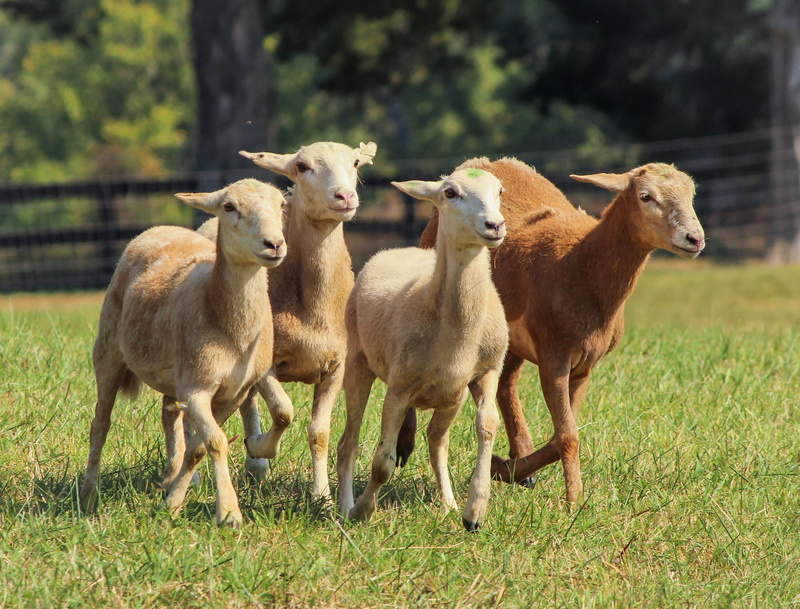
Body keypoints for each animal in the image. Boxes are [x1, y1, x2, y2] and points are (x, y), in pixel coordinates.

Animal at [79, 179, 287, 528]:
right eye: (228, 207)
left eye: (282, 205)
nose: (273, 244)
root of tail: (158, 228)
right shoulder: (197, 387)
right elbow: (217, 442)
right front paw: (229, 512)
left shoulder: (234, 392)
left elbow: (199, 447)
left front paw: (173, 503)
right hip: (107, 350)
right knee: (100, 423)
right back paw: (89, 495)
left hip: (173, 375)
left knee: (168, 415)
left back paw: (169, 476)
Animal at [196, 141, 378, 499]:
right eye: (302, 167)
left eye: (354, 162)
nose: (345, 196)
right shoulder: (266, 364)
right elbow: (283, 411)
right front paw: (259, 447)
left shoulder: (337, 365)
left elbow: (319, 432)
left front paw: (321, 496)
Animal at [337, 168, 509, 531]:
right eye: (450, 193)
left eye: (499, 190)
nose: (494, 225)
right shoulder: (399, 387)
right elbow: (382, 462)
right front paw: (363, 510)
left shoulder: (487, 371)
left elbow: (487, 426)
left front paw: (475, 511)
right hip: (358, 361)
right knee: (349, 444)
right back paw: (345, 507)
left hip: (452, 396)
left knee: (436, 442)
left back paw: (448, 503)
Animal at [411, 158, 705, 504]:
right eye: (646, 196)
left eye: (691, 193)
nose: (694, 238)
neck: (581, 268)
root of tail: (484, 161)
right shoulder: (554, 355)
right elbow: (567, 436)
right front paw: (574, 500)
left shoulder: (585, 364)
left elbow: (562, 434)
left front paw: (504, 469)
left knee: (506, 384)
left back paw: (520, 458)